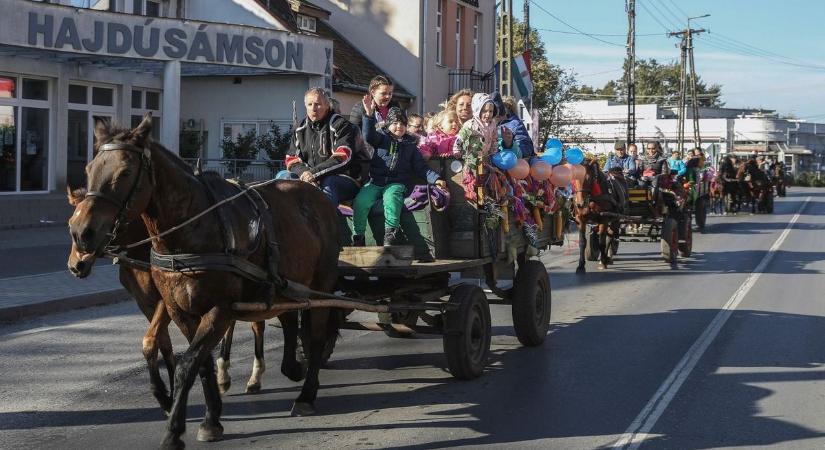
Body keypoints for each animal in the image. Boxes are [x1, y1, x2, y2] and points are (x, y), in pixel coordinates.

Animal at [67, 114, 342, 448]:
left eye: (125, 171)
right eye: (89, 169)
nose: (82, 234)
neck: (190, 230)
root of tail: (316, 195)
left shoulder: (218, 309)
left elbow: (187, 363)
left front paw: (174, 428)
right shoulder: (178, 310)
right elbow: (199, 361)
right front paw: (210, 418)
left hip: (322, 283)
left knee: (315, 336)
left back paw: (305, 394)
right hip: (284, 284)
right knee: (287, 320)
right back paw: (289, 368)